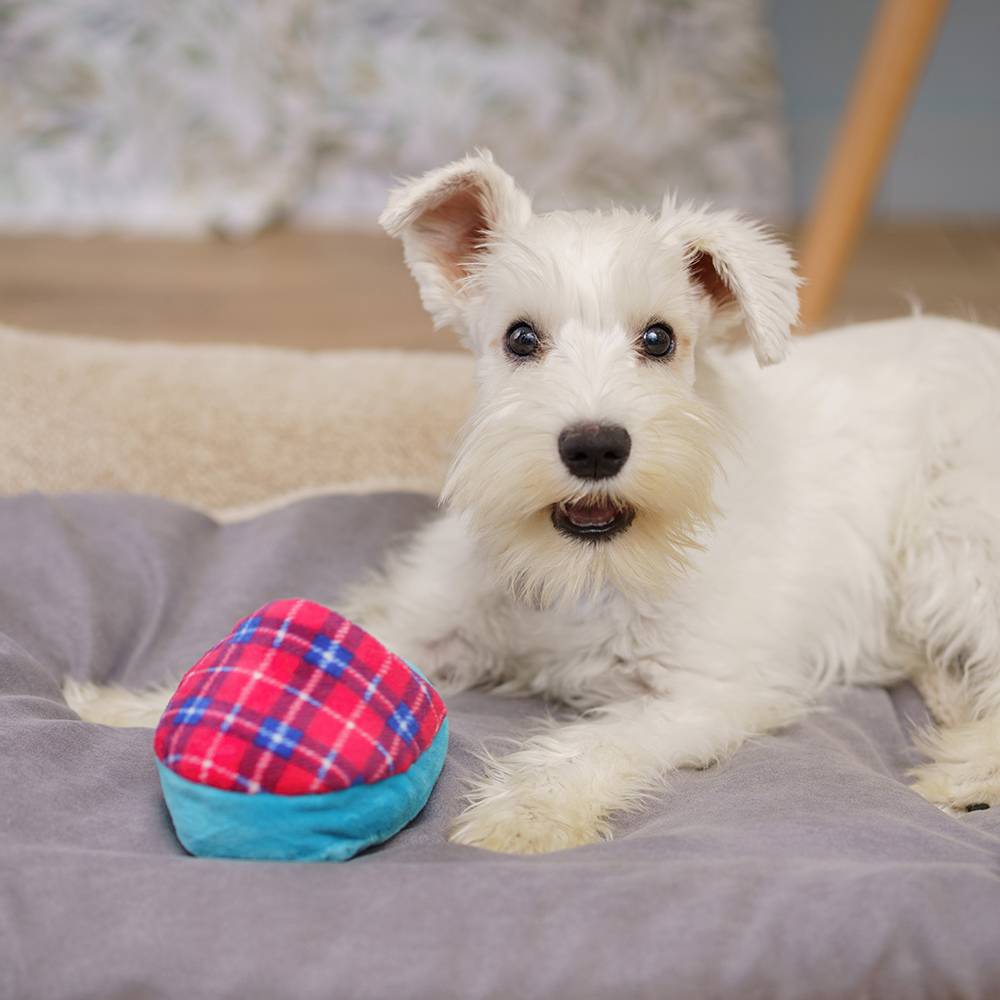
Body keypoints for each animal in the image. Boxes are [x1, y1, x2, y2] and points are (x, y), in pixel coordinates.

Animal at [71, 151, 1000, 855]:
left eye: (660, 338)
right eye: (521, 337)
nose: (594, 446)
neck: (582, 569)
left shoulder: (700, 692)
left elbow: (596, 744)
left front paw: (524, 817)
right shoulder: (437, 621)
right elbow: (362, 635)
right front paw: (134, 705)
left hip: (952, 548)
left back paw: (961, 773)